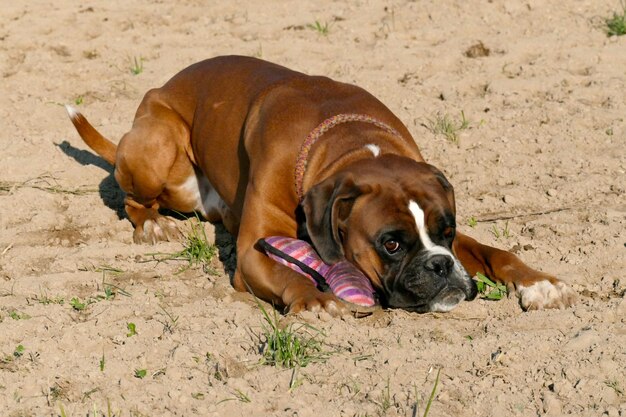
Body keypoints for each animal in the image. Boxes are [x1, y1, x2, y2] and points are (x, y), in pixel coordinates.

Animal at [64, 56, 576, 316]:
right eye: (391, 244)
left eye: (446, 232)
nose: (440, 266)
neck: (351, 143)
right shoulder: (251, 250)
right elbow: (285, 273)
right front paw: (315, 301)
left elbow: (494, 252)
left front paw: (538, 282)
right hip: (158, 149)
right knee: (133, 198)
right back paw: (152, 225)